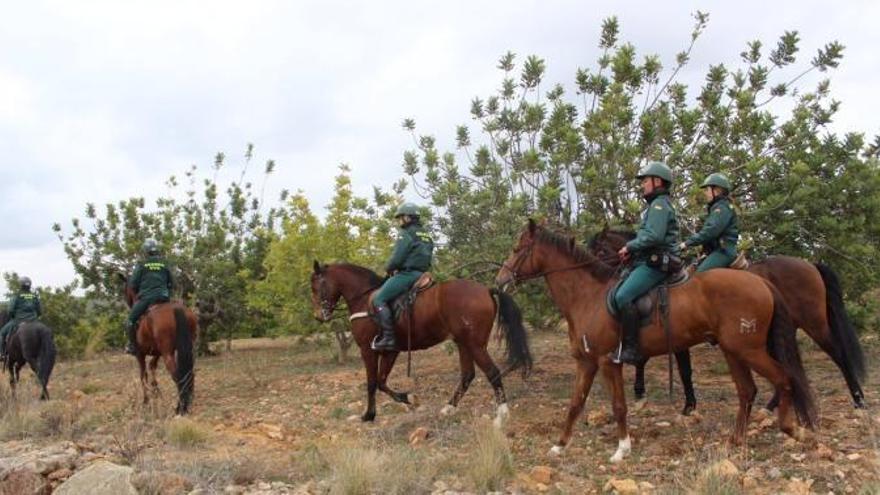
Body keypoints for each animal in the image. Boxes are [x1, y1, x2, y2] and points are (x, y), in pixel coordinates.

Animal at [122, 280, 198, 416]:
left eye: (125, 290)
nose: (128, 303)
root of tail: (177, 309)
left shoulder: (140, 354)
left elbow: (143, 375)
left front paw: (146, 401)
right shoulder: (158, 353)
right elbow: (152, 366)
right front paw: (156, 391)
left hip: (168, 354)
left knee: (177, 376)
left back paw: (180, 408)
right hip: (188, 349)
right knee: (189, 374)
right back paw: (189, 402)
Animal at [312, 260, 528, 426]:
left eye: (315, 286)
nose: (319, 316)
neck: (364, 299)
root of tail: (486, 290)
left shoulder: (368, 350)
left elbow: (372, 383)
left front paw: (369, 415)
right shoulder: (391, 351)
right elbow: (382, 382)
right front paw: (409, 399)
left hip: (475, 345)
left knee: (492, 372)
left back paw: (502, 414)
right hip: (463, 343)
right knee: (467, 375)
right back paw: (448, 408)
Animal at [496, 221, 820, 464]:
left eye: (516, 249)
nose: (500, 280)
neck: (588, 296)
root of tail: (760, 281)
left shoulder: (607, 362)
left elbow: (619, 406)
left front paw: (621, 450)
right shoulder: (586, 362)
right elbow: (576, 403)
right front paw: (559, 445)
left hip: (749, 350)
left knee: (784, 379)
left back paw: (791, 429)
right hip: (734, 350)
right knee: (747, 390)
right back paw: (735, 440)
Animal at [592, 228, 868, 410]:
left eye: (602, 249)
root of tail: (811, 265)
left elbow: (678, 368)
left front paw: (684, 403)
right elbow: (655, 360)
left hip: (815, 325)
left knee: (838, 354)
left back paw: (858, 398)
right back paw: (772, 404)